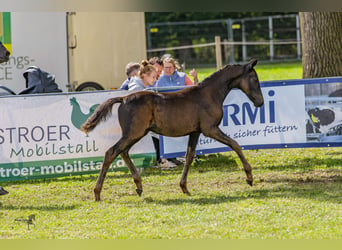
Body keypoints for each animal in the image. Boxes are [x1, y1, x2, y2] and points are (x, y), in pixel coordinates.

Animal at [81, 58, 264, 201]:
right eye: (254, 79)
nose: (260, 102)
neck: (209, 94)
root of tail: (123, 98)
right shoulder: (210, 129)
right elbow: (235, 144)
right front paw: (249, 177)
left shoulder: (195, 132)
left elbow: (189, 156)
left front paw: (184, 187)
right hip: (134, 133)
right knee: (111, 152)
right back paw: (97, 193)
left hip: (135, 134)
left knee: (123, 153)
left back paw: (139, 186)